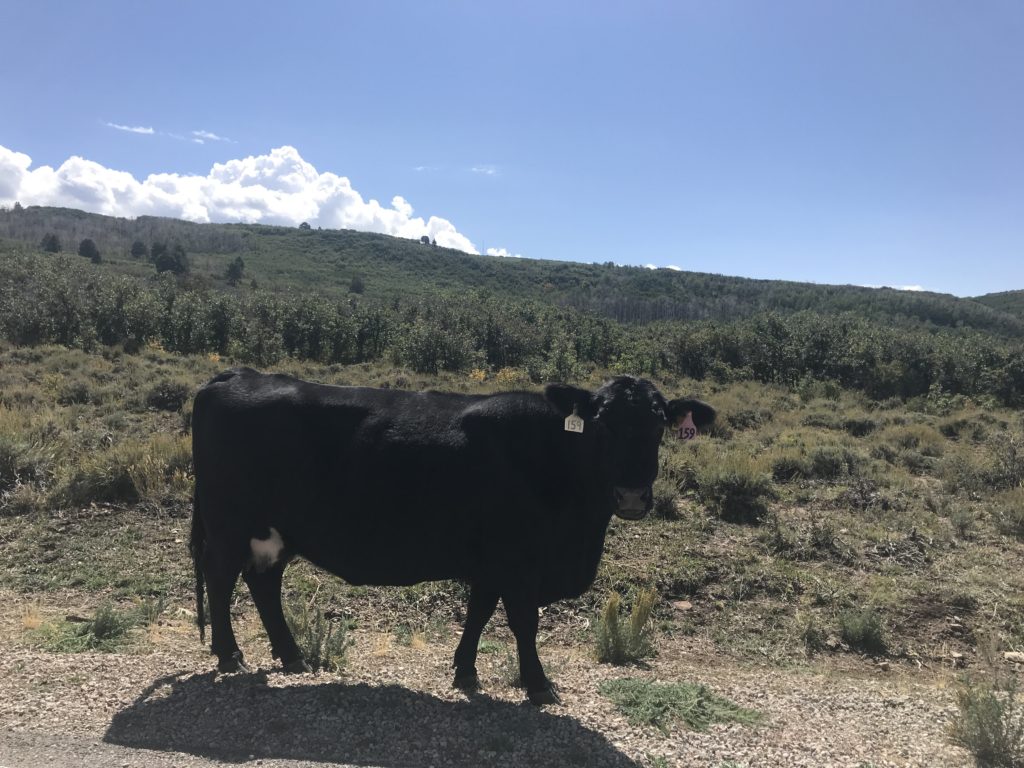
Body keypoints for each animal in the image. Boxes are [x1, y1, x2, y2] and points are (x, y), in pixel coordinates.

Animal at [190, 368, 715, 704]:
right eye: (602, 423)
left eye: (659, 423)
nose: (631, 495)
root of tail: (237, 375)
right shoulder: (519, 560)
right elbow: (523, 622)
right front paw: (538, 685)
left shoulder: (491, 561)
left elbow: (479, 613)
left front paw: (465, 671)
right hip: (230, 522)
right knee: (221, 578)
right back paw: (230, 654)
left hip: (274, 529)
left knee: (263, 583)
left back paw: (292, 655)